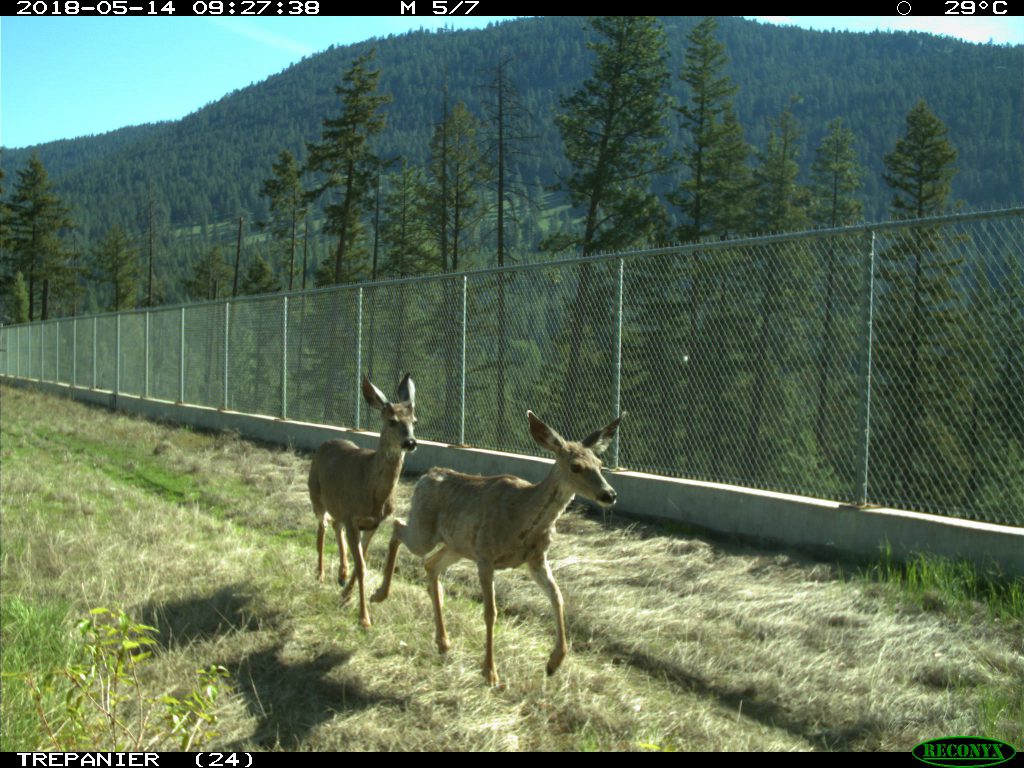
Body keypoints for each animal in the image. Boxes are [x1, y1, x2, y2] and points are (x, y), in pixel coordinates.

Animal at [307, 374, 415, 630]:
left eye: (414, 421)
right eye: (392, 421)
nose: (410, 442)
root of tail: (327, 442)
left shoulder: (372, 523)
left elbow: (362, 562)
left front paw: (346, 595)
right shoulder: (353, 517)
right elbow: (363, 566)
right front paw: (365, 619)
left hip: (338, 506)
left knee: (334, 525)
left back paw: (341, 573)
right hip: (316, 494)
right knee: (322, 526)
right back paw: (320, 574)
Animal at [370, 409, 618, 684]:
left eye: (600, 464)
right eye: (576, 466)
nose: (609, 494)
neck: (521, 515)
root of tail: (426, 476)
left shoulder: (536, 558)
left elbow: (557, 597)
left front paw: (554, 663)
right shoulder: (486, 556)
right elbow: (491, 612)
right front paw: (490, 672)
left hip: (457, 546)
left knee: (431, 564)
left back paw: (443, 642)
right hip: (425, 531)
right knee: (398, 526)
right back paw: (379, 595)